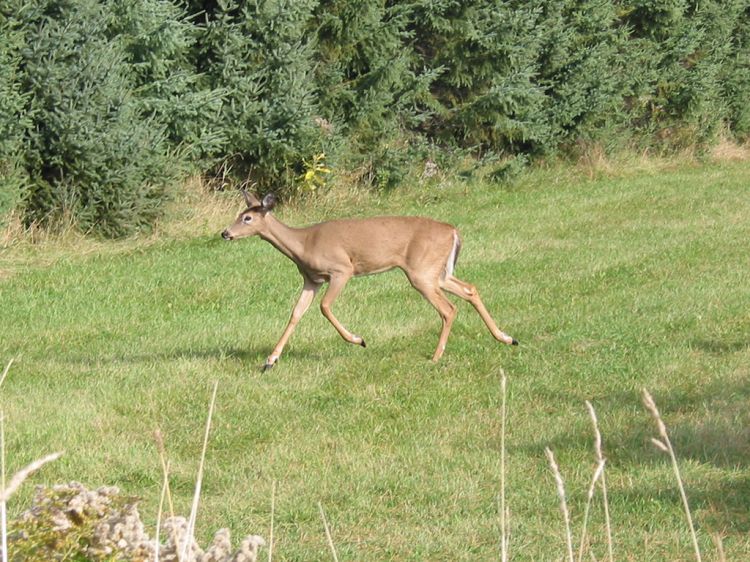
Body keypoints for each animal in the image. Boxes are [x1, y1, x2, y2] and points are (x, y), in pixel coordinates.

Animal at [220, 190, 520, 370]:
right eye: (238, 215)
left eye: (247, 218)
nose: (225, 233)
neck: (303, 244)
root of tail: (453, 231)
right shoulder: (311, 280)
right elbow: (296, 313)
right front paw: (270, 360)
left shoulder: (341, 269)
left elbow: (325, 307)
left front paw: (358, 339)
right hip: (437, 271)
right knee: (470, 289)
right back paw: (507, 338)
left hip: (421, 272)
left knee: (449, 308)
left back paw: (436, 357)